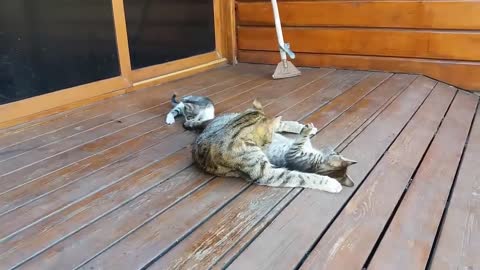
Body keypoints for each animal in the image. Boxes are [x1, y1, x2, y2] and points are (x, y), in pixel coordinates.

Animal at [193, 100, 344, 193]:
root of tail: (209, 122)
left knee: (281, 123)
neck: (235, 129)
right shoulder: (266, 173)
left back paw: (303, 128)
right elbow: (301, 177)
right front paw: (330, 183)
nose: (270, 141)